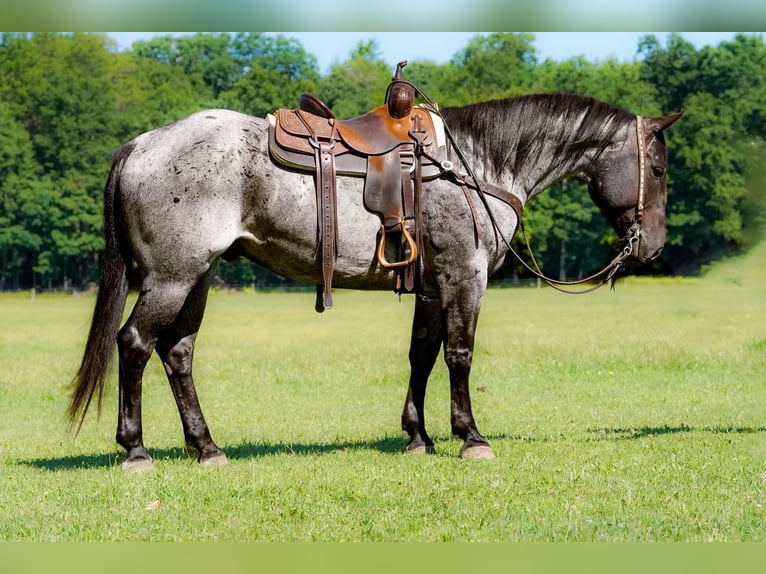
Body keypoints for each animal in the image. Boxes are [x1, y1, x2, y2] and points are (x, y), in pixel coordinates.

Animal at [68, 92, 682, 473]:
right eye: (658, 169)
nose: (651, 246)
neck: (477, 164)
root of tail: (141, 145)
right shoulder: (465, 274)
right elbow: (459, 354)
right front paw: (471, 437)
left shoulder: (432, 284)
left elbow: (422, 355)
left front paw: (418, 437)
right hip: (172, 278)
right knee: (135, 344)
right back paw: (136, 451)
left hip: (196, 276)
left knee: (178, 353)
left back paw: (206, 448)